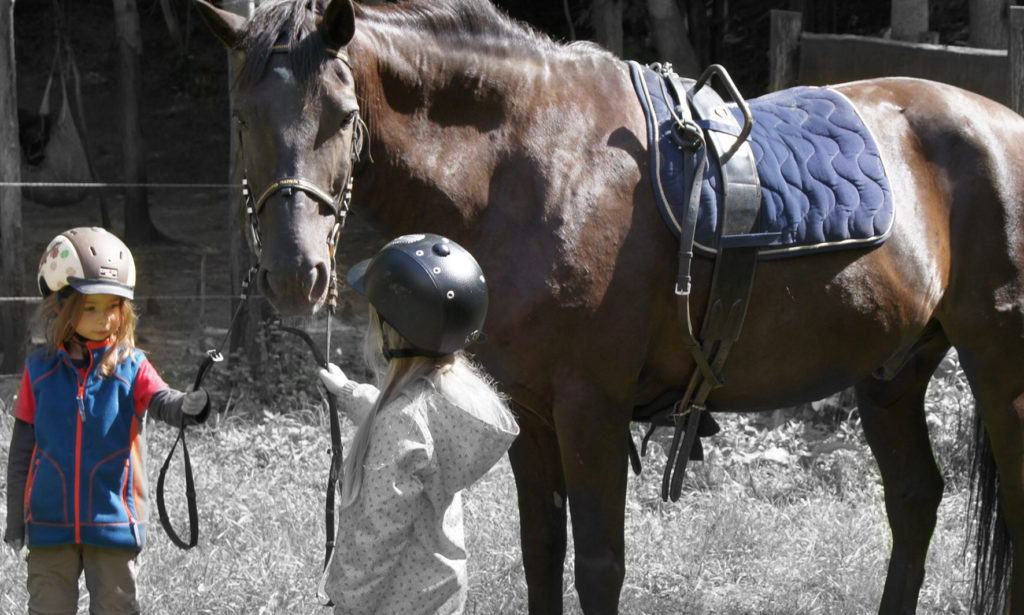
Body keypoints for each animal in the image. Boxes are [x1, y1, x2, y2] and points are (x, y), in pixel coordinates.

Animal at [193, 2, 1024, 609]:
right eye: (240, 117)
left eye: (340, 114)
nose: (294, 272)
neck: (528, 163)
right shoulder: (527, 407)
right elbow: (541, 552)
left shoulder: (591, 405)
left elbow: (597, 564)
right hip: (893, 371)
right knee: (914, 501)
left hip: (996, 365)